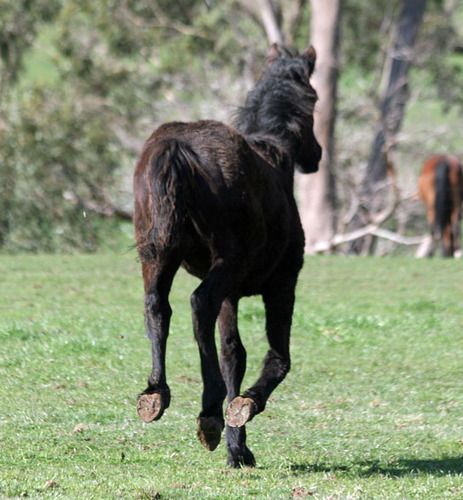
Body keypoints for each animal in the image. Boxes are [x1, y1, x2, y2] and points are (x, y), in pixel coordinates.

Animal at [133, 44, 321, 467]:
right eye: (315, 101)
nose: (317, 155)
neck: (275, 157)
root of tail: (176, 150)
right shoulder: (282, 284)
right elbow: (278, 356)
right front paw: (243, 407)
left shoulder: (232, 295)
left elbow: (233, 353)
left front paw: (239, 449)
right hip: (224, 263)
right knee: (197, 302)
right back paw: (208, 412)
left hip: (157, 254)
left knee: (157, 307)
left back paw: (155, 394)